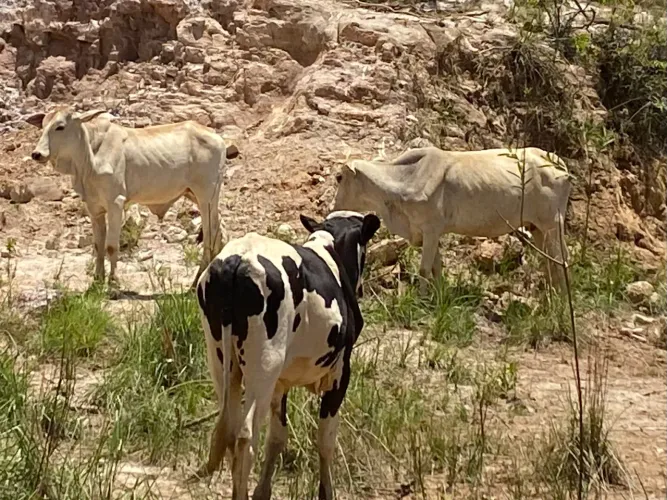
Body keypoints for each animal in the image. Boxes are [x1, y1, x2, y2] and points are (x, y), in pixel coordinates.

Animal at [26, 106, 238, 289]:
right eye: (43, 125)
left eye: (60, 126)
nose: (36, 154)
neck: (89, 156)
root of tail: (218, 138)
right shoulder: (94, 209)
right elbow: (98, 245)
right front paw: (97, 281)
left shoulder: (116, 203)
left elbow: (111, 246)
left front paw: (113, 282)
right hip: (199, 197)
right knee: (219, 232)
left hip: (206, 196)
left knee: (210, 238)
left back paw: (194, 284)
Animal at [195, 211, 380, 500]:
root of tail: (239, 259)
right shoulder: (341, 373)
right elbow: (325, 439)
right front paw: (326, 492)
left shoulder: (281, 383)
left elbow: (277, 437)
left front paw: (262, 491)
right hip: (263, 367)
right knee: (245, 436)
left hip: (222, 362)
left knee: (231, 429)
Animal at [332, 146, 572, 293]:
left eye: (339, 177)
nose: (334, 208)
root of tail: (559, 163)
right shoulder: (430, 233)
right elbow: (436, 268)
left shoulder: (430, 229)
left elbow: (424, 269)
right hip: (538, 228)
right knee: (549, 264)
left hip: (552, 225)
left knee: (560, 261)